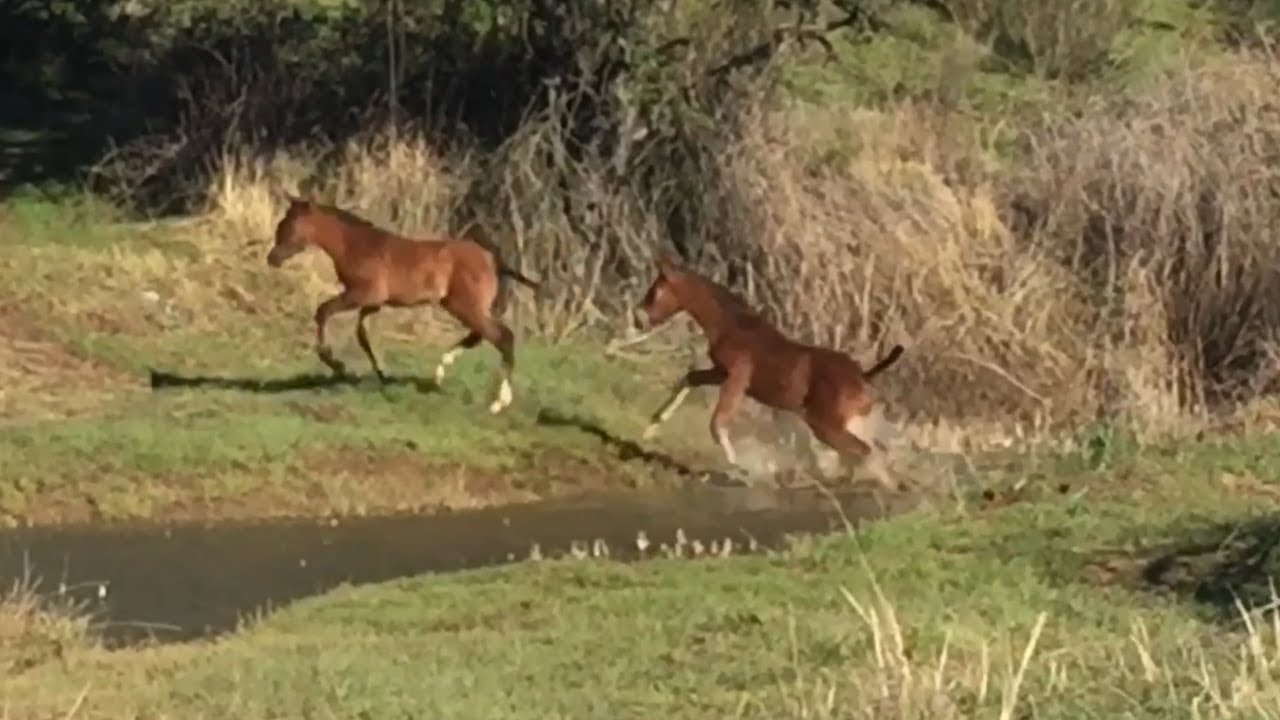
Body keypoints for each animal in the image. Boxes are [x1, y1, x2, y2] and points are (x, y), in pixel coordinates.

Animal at [264, 197, 539, 414]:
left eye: (289, 226)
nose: (272, 258)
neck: (355, 245)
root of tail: (492, 259)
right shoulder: (374, 303)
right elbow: (362, 335)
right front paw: (381, 374)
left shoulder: (362, 294)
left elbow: (323, 312)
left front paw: (335, 363)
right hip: (465, 307)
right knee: (481, 336)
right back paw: (439, 374)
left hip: (465, 306)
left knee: (502, 337)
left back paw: (498, 402)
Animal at [633, 253, 905, 487]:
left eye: (655, 292)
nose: (638, 320)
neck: (729, 323)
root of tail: (863, 375)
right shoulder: (721, 372)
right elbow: (689, 379)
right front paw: (650, 428)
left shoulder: (737, 376)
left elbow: (717, 423)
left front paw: (741, 468)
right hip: (849, 421)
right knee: (868, 453)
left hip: (826, 426)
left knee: (864, 453)